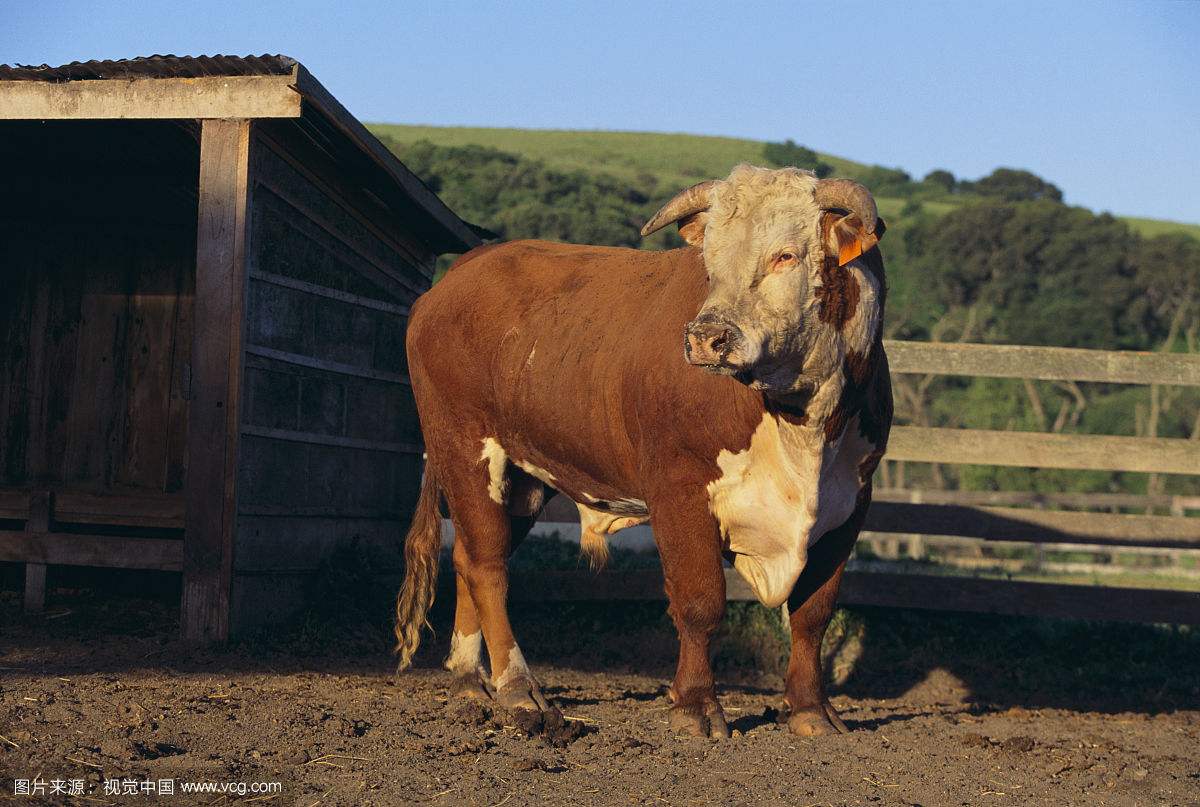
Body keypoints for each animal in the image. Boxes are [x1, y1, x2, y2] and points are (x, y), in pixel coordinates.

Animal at [398, 163, 897, 739]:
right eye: (710, 264)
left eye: (785, 255)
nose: (707, 337)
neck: (803, 426)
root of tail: (459, 275)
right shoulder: (678, 489)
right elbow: (700, 601)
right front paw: (695, 706)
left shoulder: (848, 504)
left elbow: (813, 613)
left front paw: (812, 710)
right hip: (464, 448)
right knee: (486, 566)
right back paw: (519, 689)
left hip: (521, 479)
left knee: (468, 556)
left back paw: (467, 680)